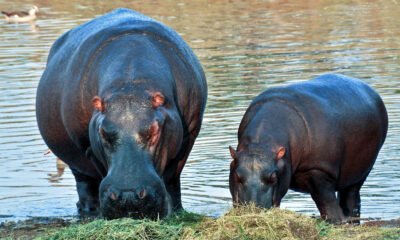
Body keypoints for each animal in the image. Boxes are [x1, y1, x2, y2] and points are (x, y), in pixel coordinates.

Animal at [36, 8, 208, 219]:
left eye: (154, 131)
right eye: (103, 133)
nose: (128, 196)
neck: (131, 83)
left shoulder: (187, 137)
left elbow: (172, 178)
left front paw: (175, 211)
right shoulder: (88, 146)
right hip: (75, 161)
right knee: (85, 185)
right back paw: (90, 211)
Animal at [228, 74, 388, 224]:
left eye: (273, 177)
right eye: (236, 175)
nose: (253, 212)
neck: (261, 146)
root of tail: (369, 89)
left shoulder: (319, 170)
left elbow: (326, 200)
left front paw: (337, 221)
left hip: (362, 170)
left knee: (351, 195)